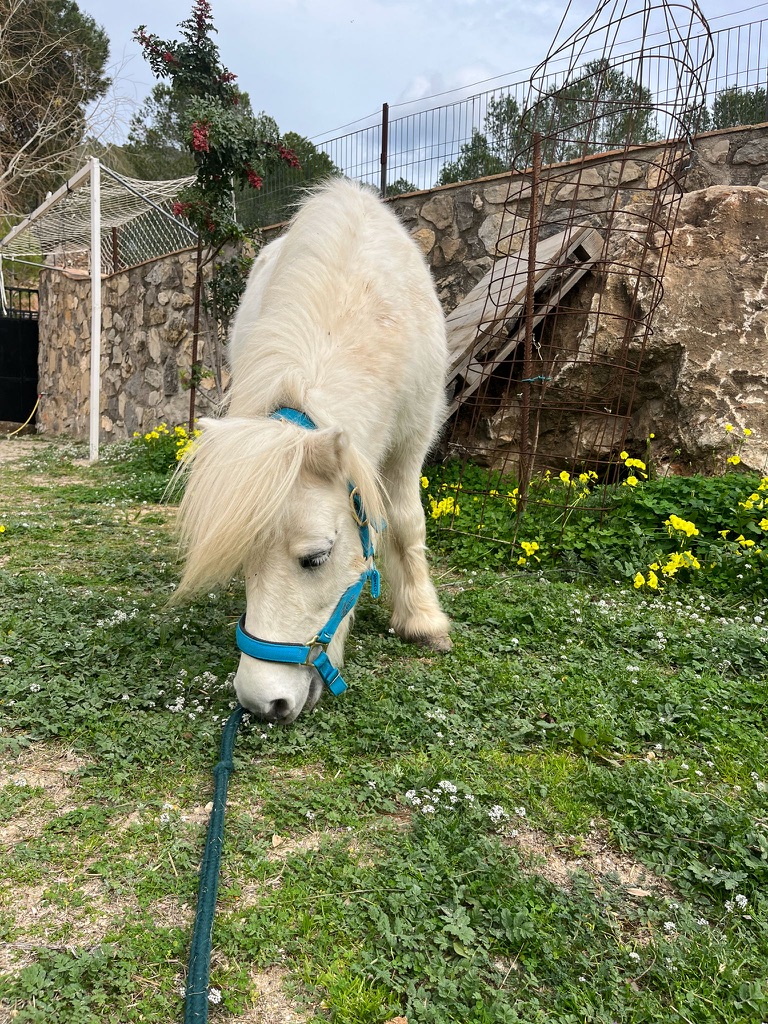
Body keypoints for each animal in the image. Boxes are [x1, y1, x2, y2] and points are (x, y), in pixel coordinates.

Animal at [174, 178, 451, 723]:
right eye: (243, 564)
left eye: (316, 558)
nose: (263, 702)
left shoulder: (412, 439)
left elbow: (407, 524)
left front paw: (423, 620)